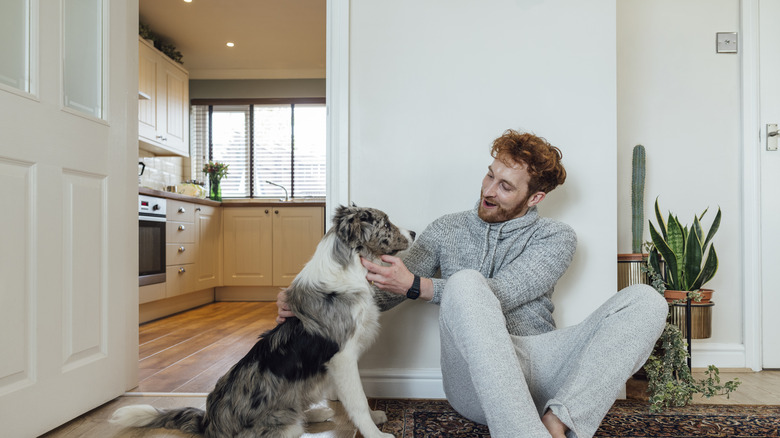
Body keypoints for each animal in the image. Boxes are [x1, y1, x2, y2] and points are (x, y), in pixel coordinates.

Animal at [112, 206, 414, 438]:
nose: (412, 232)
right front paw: (376, 433)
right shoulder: (343, 357)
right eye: (386, 223)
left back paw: (317, 412)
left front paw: (375, 417)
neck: (350, 265)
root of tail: (208, 422)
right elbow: (358, 400)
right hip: (283, 427)